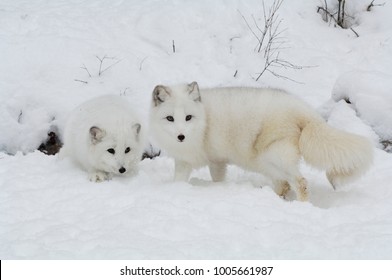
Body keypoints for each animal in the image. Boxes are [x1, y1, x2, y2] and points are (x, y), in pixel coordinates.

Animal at [149, 81, 372, 201]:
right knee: (285, 184)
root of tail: (306, 110)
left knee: (300, 183)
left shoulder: (217, 161)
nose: (181, 136)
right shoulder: (185, 162)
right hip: (267, 162)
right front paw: (176, 190)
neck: (204, 120)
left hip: (274, 156)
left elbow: (217, 180)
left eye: (188, 117)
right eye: (170, 118)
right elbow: (179, 180)